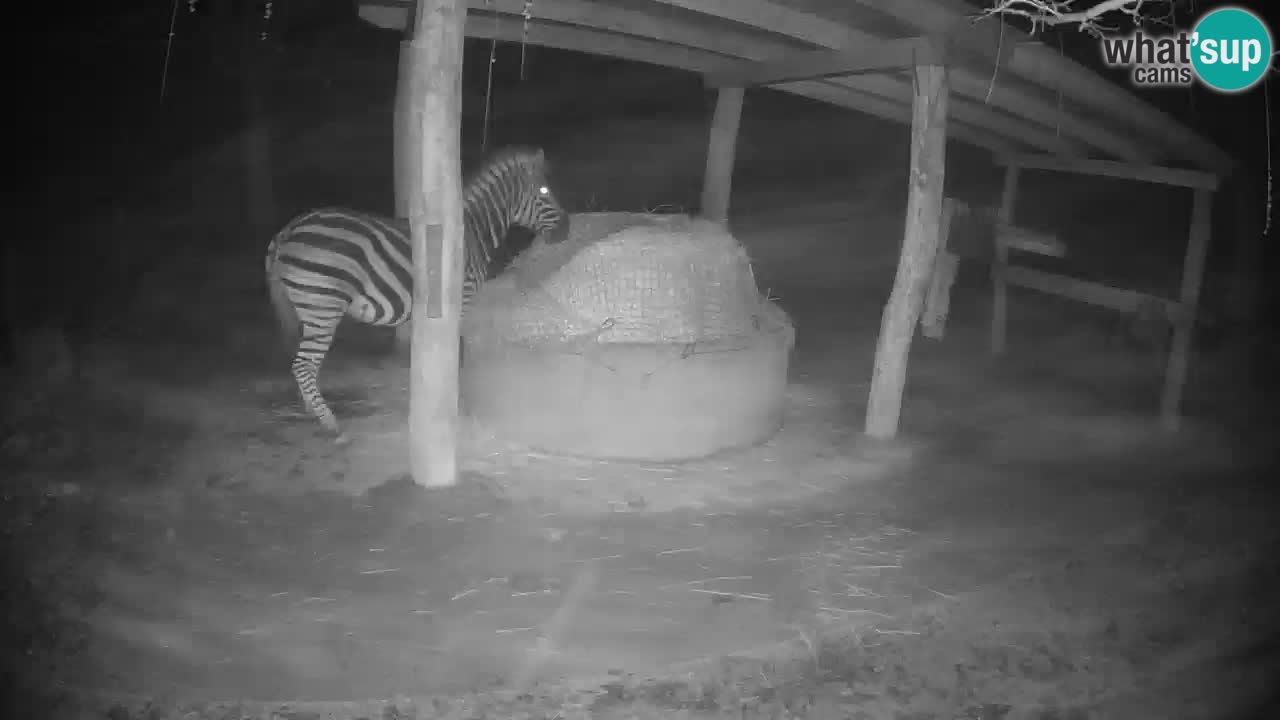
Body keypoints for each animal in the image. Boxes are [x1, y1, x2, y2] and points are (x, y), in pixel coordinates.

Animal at [264, 145, 568, 440]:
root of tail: (287, 230)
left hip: (308, 308)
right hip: (323, 306)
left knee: (301, 364)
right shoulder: (462, 299)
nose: (566, 230)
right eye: (544, 191)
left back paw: (312, 411)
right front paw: (455, 397)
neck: (471, 233)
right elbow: (457, 352)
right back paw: (330, 423)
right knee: (303, 365)